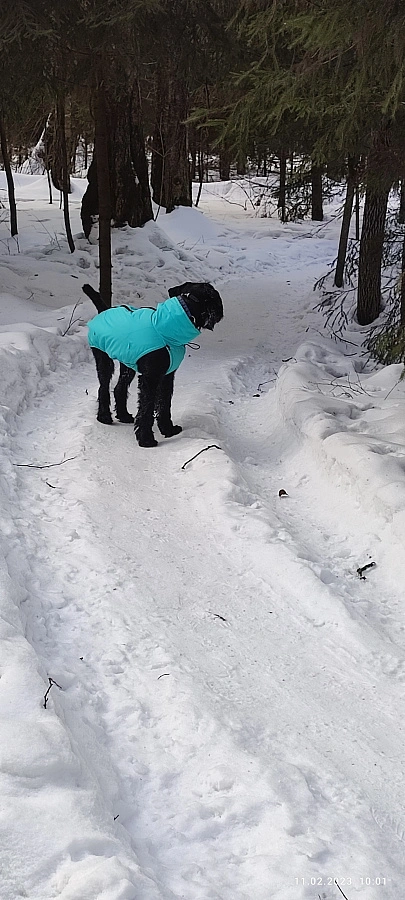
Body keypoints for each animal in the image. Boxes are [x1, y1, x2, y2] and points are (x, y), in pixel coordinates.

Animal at [81, 284, 221, 448]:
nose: (219, 311)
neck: (164, 329)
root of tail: (104, 310)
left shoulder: (167, 376)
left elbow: (164, 403)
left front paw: (168, 429)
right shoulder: (150, 378)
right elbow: (147, 408)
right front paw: (146, 439)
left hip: (127, 366)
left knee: (119, 388)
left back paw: (123, 415)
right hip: (104, 360)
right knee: (103, 387)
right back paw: (104, 417)